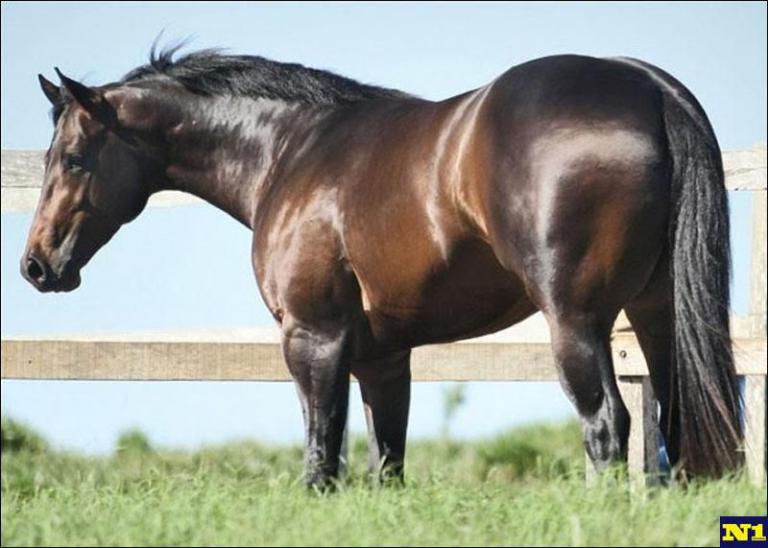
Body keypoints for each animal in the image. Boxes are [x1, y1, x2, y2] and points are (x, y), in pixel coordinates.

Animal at [23, 47, 742, 487]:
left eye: (74, 158)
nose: (36, 265)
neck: (291, 151)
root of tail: (648, 87)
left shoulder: (313, 338)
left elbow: (322, 455)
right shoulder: (383, 356)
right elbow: (384, 460)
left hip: (575, 321)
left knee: (606, 424)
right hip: (656, 314)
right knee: (677, 419)